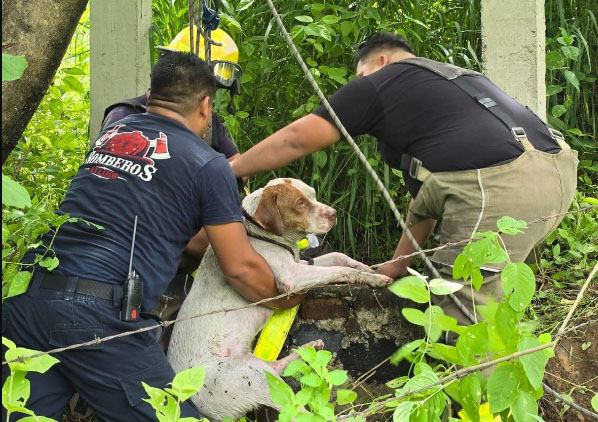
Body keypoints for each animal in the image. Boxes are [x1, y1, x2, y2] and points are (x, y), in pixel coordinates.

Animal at [169, 178, 394, 418]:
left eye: (313, 194)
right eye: (299, 203)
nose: (334, 213)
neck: (260, 232)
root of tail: (181, 397)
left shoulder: (301, 262)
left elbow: (338, 256)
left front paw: (370, 268)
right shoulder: (290, 277)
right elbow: (339, 270)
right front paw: (374, 278)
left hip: (252, 365)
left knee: (275, 367)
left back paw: (309, 348)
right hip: (253, 378)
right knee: (297, 410)